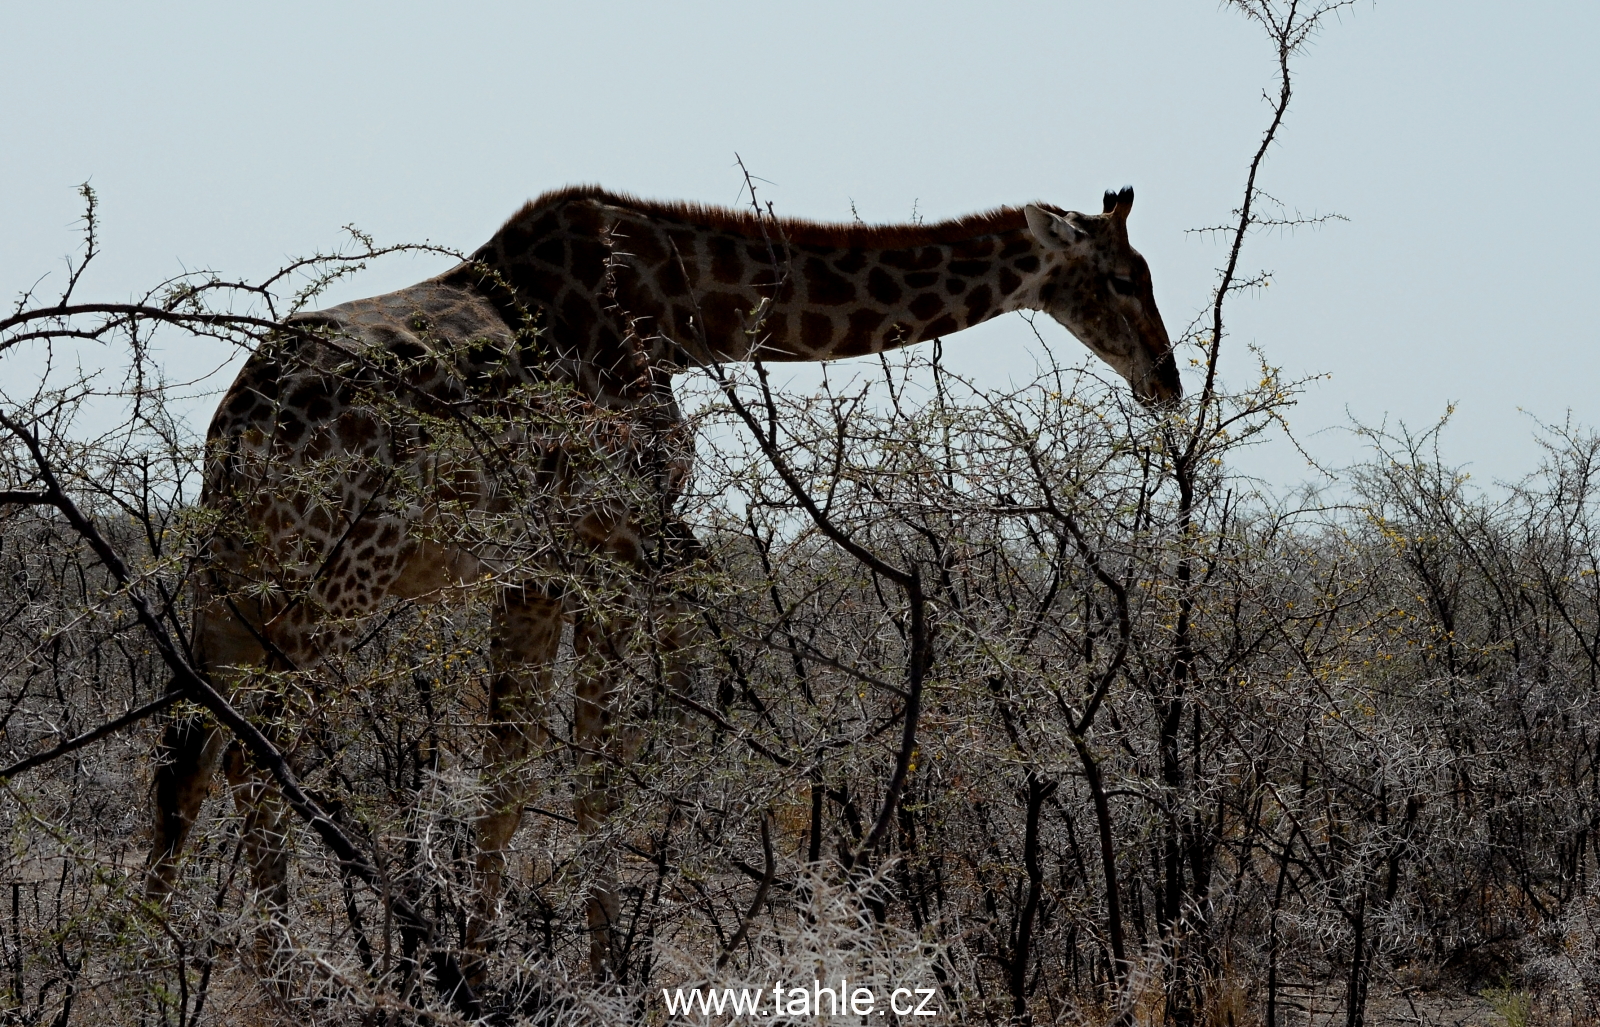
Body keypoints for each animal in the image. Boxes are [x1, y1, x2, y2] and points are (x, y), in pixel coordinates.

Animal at [147, 182, 1177, 972]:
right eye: (1125, 277)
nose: (1166, 381)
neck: (686, 314)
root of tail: (239, 425)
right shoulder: (594, 540)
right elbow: (578, 772)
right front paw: (579, 975)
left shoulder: (548, 558)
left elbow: (519, 769)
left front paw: (491, 963)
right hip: (334, 575)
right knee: (247, 744)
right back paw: (275, 968)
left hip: (233, 570)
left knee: (191, 751)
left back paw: (160, 955)